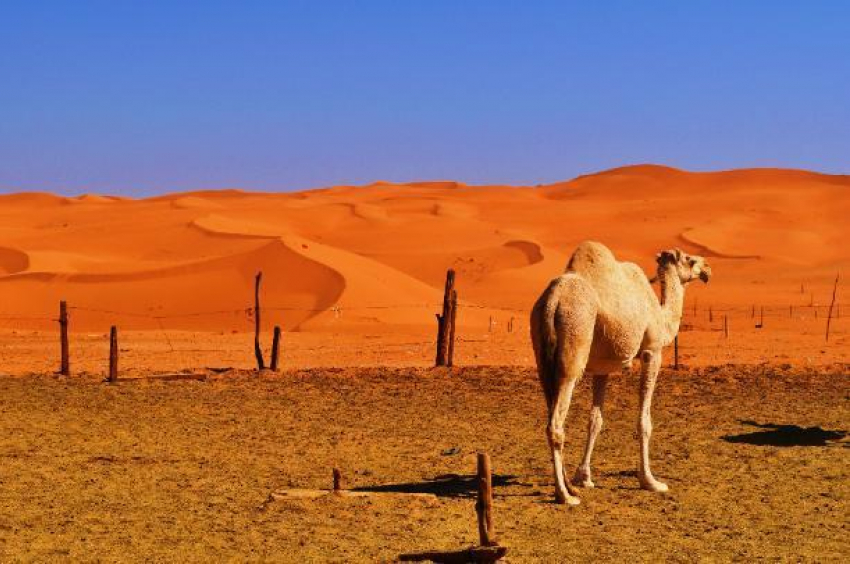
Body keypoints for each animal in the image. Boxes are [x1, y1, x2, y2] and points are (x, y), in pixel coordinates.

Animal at [528, 240, 708, 504]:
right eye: (689, 259)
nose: (707, 268)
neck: (661, 315)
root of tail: (553, 300)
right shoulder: (652, 351)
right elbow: (644, 421)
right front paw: (650, 481)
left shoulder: (602, 369)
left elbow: (595, 420)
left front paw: (584, 477)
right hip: (574, 342)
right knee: (556, 423)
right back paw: (565, 495)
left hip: (542, 358)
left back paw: (571, 487)